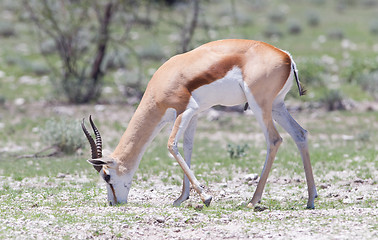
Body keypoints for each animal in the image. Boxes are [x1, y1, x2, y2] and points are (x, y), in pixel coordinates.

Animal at [82, 39, 316, 208]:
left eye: (107, 176)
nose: (113, 203)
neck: (164, 81)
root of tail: (286, 56)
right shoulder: (193, 115)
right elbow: (187, 147)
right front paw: (181, 198)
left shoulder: (186, 110)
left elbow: (171, 145)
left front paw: (206, 198)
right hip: (277, 106)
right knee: (300, 134)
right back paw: (311, 199)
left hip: (260, 106)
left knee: (274, 140)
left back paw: (253, 201)